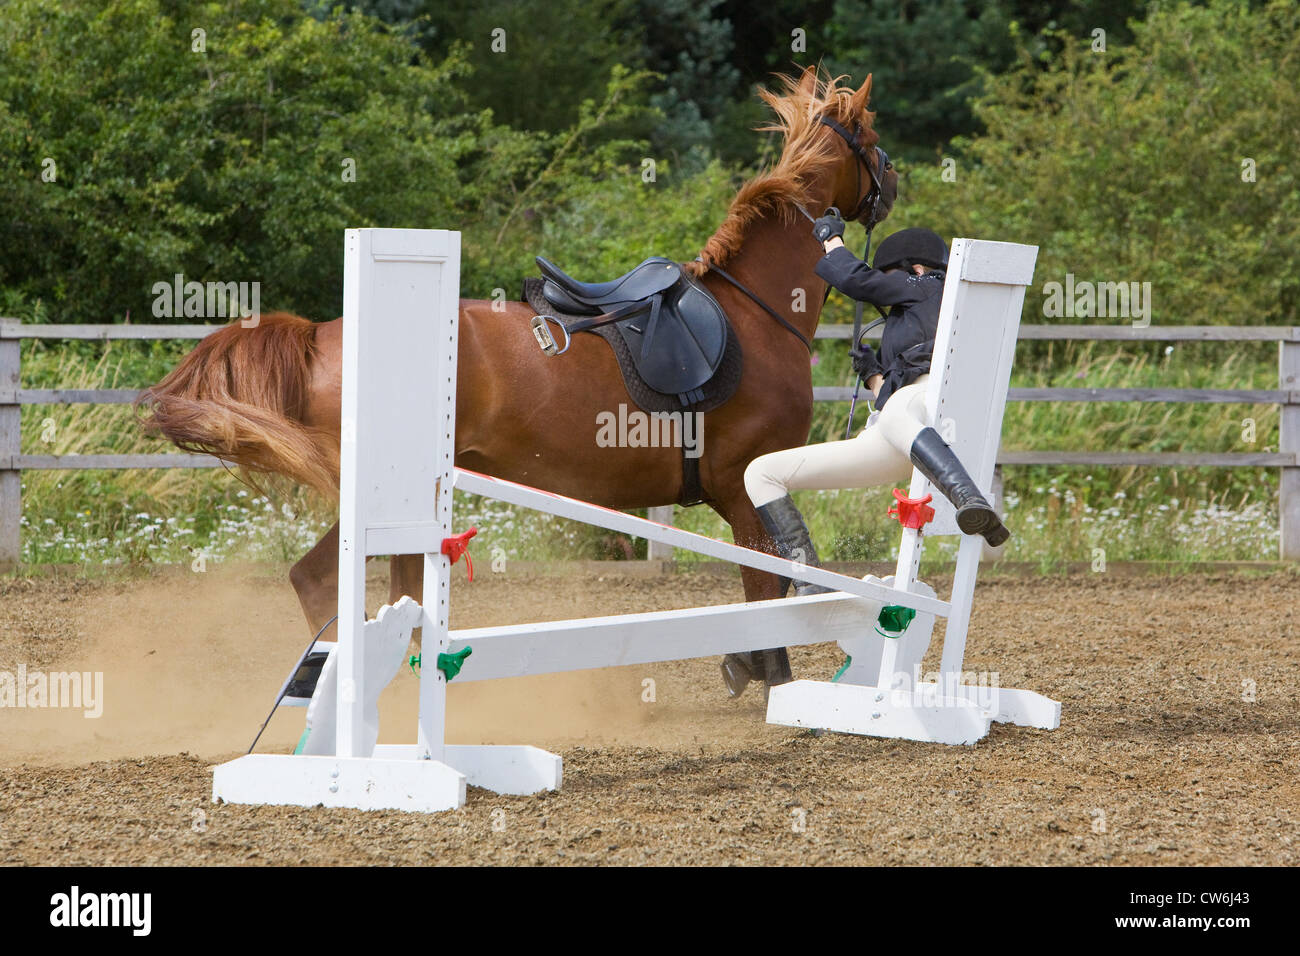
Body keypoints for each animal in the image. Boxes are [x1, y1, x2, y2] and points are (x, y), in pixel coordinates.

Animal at [137, 66, 898, 695]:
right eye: (871, 134)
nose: (893, 185)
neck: (753, 311)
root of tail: (320, 333)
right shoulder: (745, 490)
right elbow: (764, 589)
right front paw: (767, 675)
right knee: (327, 579)